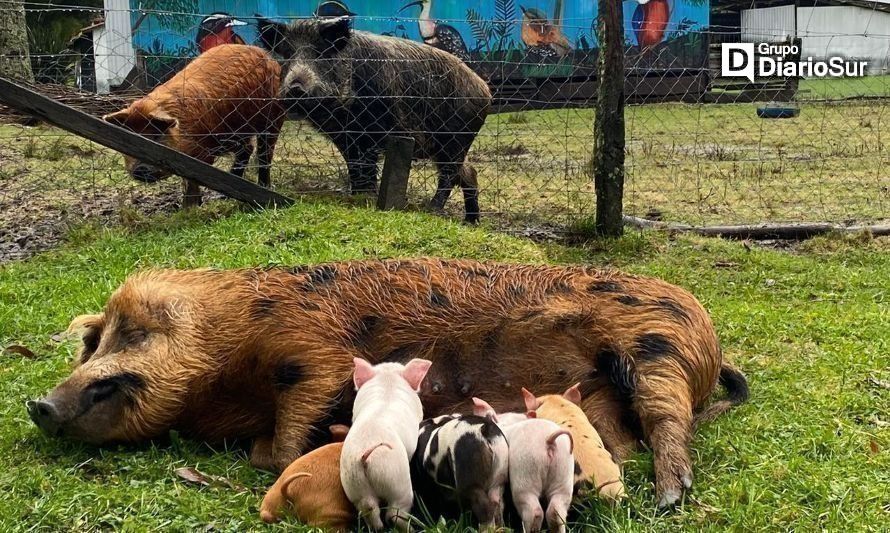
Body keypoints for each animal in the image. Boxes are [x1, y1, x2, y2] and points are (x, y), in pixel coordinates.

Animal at [27, 258, 744, 508]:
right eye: (96, 340)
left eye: (133, 333)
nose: (37, 402)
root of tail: (708, 341)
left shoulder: (312, 347)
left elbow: (292, 430)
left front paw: (274, 451)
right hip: (595, 392)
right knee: (622, 435)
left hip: (658, 343)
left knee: (666, 418)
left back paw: (670, 495)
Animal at [103, 44, 284, 206]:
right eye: (130, 135)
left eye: (156, 135)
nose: (141, 169)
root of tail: (265, 54)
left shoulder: (200, 154)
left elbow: (192, 180)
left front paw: (189, 208)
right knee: (247, 149)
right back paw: (224, 196)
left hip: (273, 118)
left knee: (264, 153)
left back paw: (263, 187)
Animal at [255, 15, 492, 222]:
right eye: (287, 53)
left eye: (320, 52)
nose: (295, 87)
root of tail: (485, 90)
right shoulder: (343, 137)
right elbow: (353, 165)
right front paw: (356, 194)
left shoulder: (373, 131)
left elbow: (367, 166)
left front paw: (366, 196)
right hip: (446, 146)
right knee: (468, 173)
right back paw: (471, 221)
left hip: (455, 138)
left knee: (450, 174)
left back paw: (432, 208)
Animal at [338, 358, 432, 528]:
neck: (388, 383)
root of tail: (364, 458)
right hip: (396, 478)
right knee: (395, 512)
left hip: (354, 483)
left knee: (369, 509)